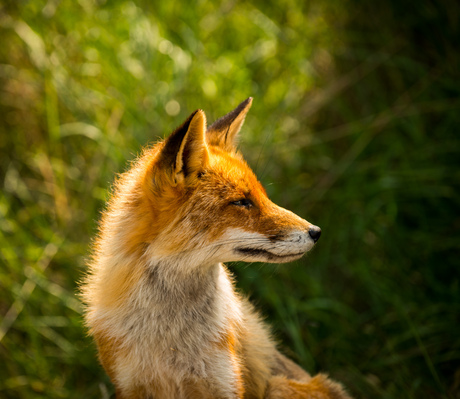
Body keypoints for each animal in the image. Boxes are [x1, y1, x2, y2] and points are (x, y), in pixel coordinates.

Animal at [80, 99, 352, 399]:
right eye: (242, 202)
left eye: (263, 197)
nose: (316, 232)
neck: (170, 339)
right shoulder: (131, 385)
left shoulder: (223, 382)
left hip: (280, 387)